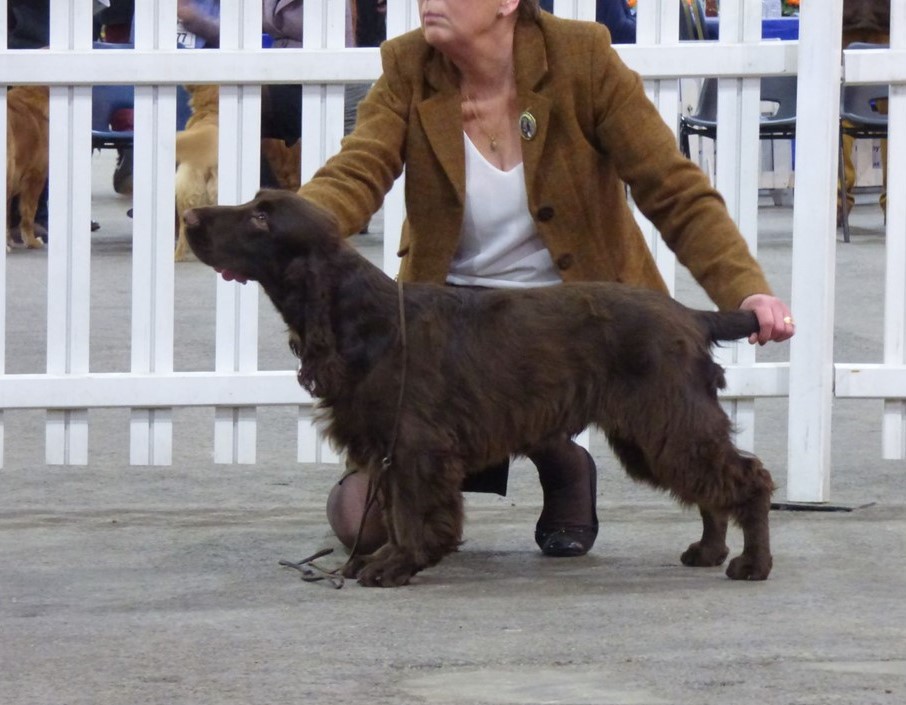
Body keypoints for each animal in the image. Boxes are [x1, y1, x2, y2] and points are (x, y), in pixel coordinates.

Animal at [185, 190, 776, 584]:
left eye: (261, 217)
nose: (188, 215)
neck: (362, 317)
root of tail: (691, 315)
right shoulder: (388, 449)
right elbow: (394, 513)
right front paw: (378, 559)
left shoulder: (417, 444)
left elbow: (414, 513)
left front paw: (396, 564)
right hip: (654, 431)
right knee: (711, 488)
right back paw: (708, 551)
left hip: (669, 420)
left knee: (749, 479)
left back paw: (752, 563)